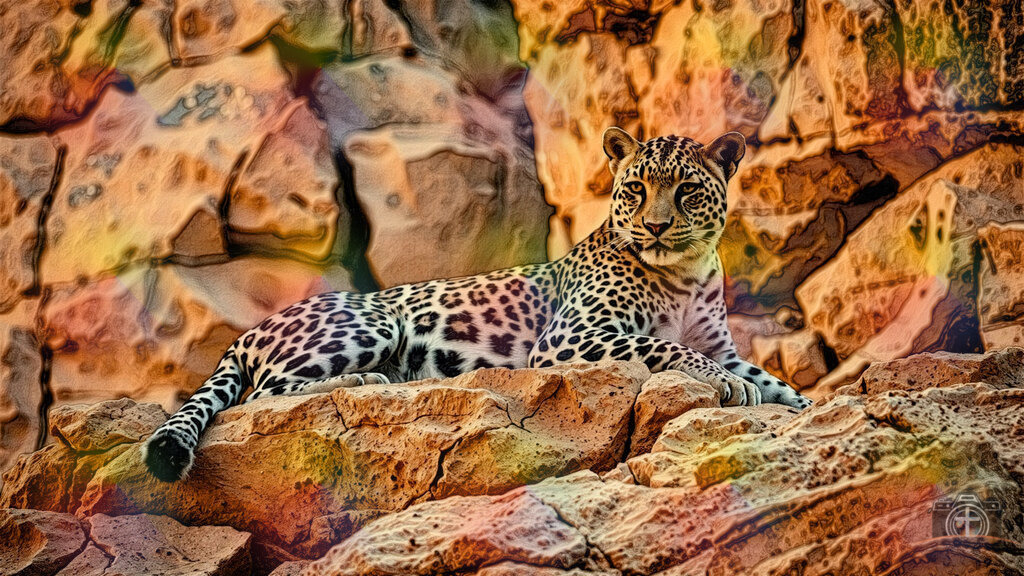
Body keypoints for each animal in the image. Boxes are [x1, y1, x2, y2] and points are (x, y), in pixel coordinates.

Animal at [143, 127, 812, 482]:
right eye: (637, 189)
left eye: (688, 190)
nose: (654, 227)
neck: (685, 273)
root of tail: (246, 332)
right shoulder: (571, 338)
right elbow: (666, 347)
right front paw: (726, 385)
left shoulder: (721, 340)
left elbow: (768, 377)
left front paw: (801, 405)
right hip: (371, 321)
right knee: (261, 400)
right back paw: (367, 383)